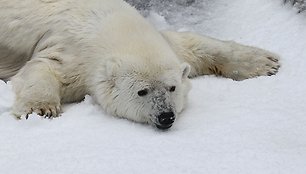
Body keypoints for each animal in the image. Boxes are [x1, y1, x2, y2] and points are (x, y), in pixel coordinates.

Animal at [0, 0, 280, 128]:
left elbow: (192, 45)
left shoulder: (165, 44)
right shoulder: (71, 53)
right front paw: (39, 110)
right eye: (141, 91)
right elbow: (43, 69)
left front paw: (267, 62)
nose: (166, 116)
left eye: (172, 88)